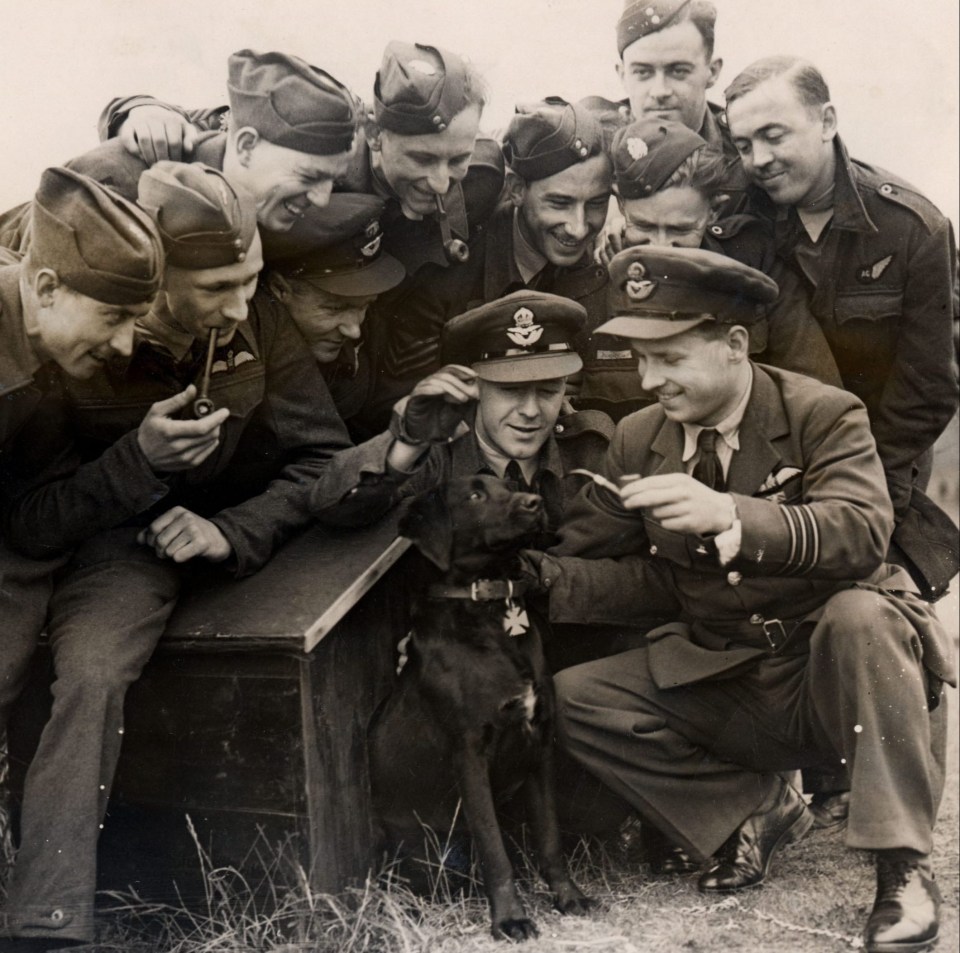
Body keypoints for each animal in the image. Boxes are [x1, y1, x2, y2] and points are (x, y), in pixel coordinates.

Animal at [370, 474, 588, 936]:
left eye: (506, 484)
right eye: (474, 495)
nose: (534, 502)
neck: (491, 611)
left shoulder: (539, 745)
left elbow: (550, 836)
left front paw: (569, 897)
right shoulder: (469, 754)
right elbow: (493, 848)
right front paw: (511, 919)